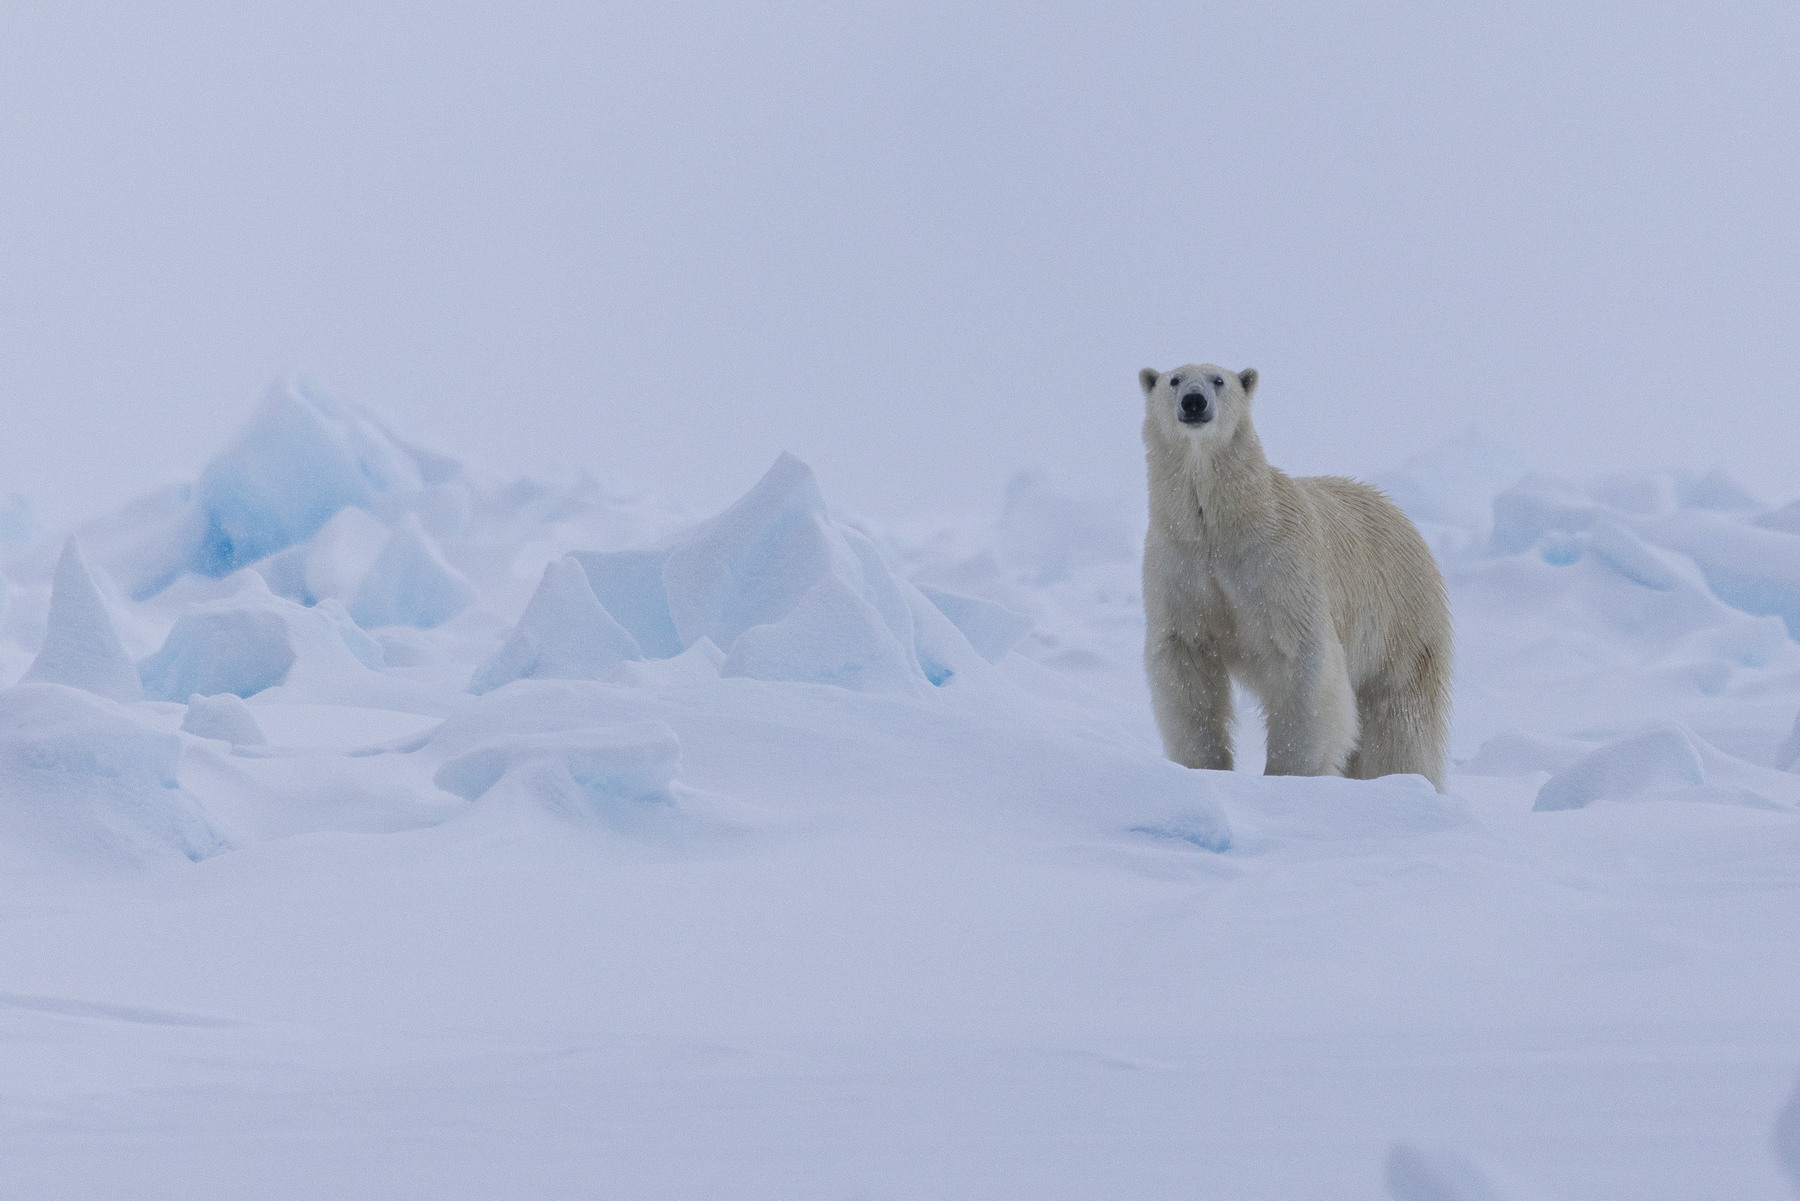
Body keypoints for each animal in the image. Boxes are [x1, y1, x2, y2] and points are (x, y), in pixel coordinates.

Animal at [1139, 363, 1452, 791]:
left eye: (1219, 380)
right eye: (1174, 380)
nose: (1194, 401)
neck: (1220, 524)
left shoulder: (1280, 562)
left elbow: (1303, 660)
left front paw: (1286, 774)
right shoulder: (1179, 562)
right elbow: (1185, 662)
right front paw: (1204, 766)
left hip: (1401, 621)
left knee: (1398, 717)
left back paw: (1402, 779)